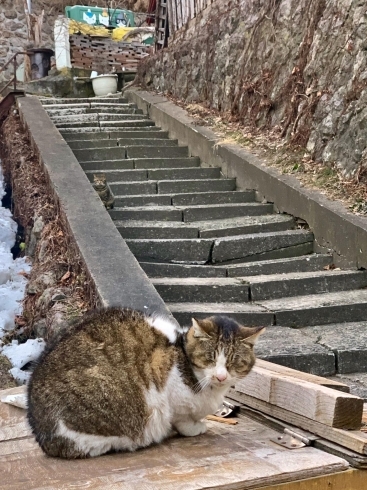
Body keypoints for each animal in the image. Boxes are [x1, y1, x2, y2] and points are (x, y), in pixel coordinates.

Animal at [28, 310, 264, 460]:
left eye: (233, 362)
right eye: (210, 358)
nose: (221, 376)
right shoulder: (170, 390)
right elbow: (183, 420)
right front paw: (195, 427)